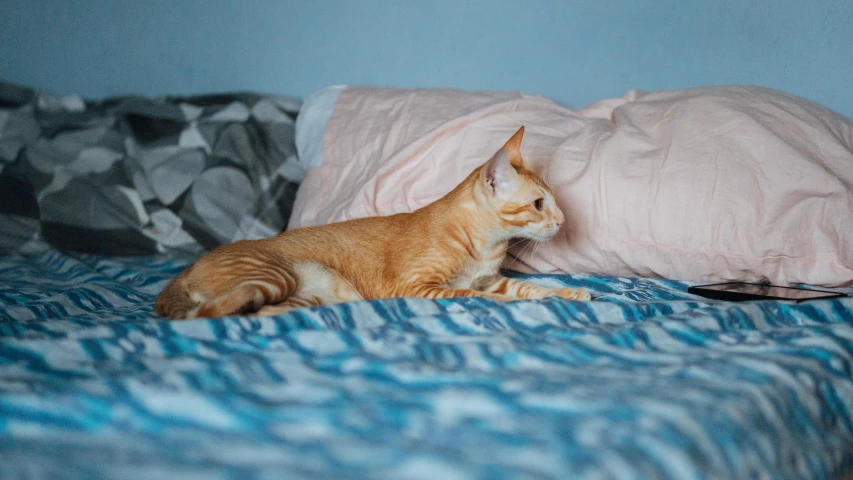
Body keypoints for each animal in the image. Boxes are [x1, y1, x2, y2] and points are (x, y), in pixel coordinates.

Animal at [156, 128, 588, 318]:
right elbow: (475, 295)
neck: (485, 246)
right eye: (538, 203)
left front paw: (567, 293)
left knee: (258, 313)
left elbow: (529, 286)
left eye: (551, 201)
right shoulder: (416, 286)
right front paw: (512, 302)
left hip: (302, 294)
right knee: (209, 313)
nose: (564, 220)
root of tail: (183, 272)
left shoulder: (491, 278)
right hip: (274, 274)